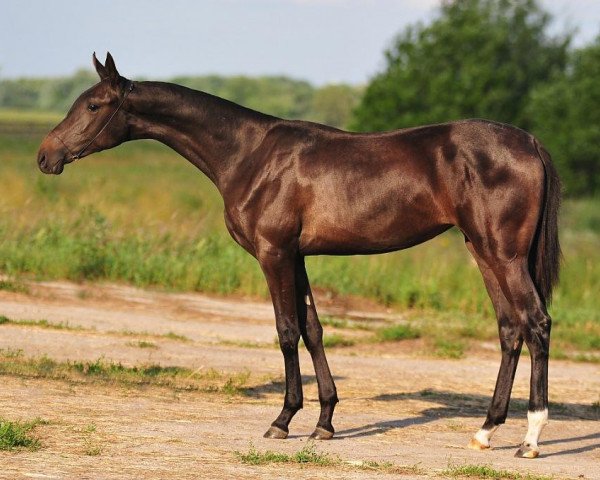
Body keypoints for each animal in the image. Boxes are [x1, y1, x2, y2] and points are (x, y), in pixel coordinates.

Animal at [37, 54, 560, 460]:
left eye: (93, 105)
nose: (45, 156)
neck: (249, 154)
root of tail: (530, 142)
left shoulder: (274, 254)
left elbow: (286, 331)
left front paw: (283, 420)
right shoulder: (298, 256)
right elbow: (313, 331)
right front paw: (324, 422)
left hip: (504, 254)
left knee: (536, 323)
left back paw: (531, 438)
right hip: (482, 251)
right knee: (510, 329)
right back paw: (486, 431)